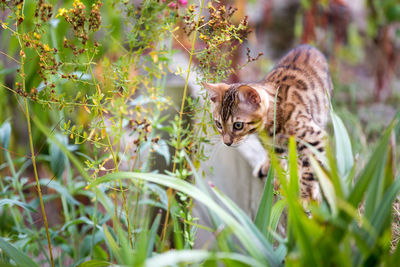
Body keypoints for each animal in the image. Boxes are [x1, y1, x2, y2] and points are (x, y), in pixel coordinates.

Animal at [203, 45, 332, 202]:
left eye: (238, 125)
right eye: (219, 124)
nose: (227, 142)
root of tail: (308, 46)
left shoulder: (315, 138)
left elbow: (310, 169)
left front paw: (305, 196)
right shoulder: (270, 143)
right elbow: (276, 158)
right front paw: (278, 179)